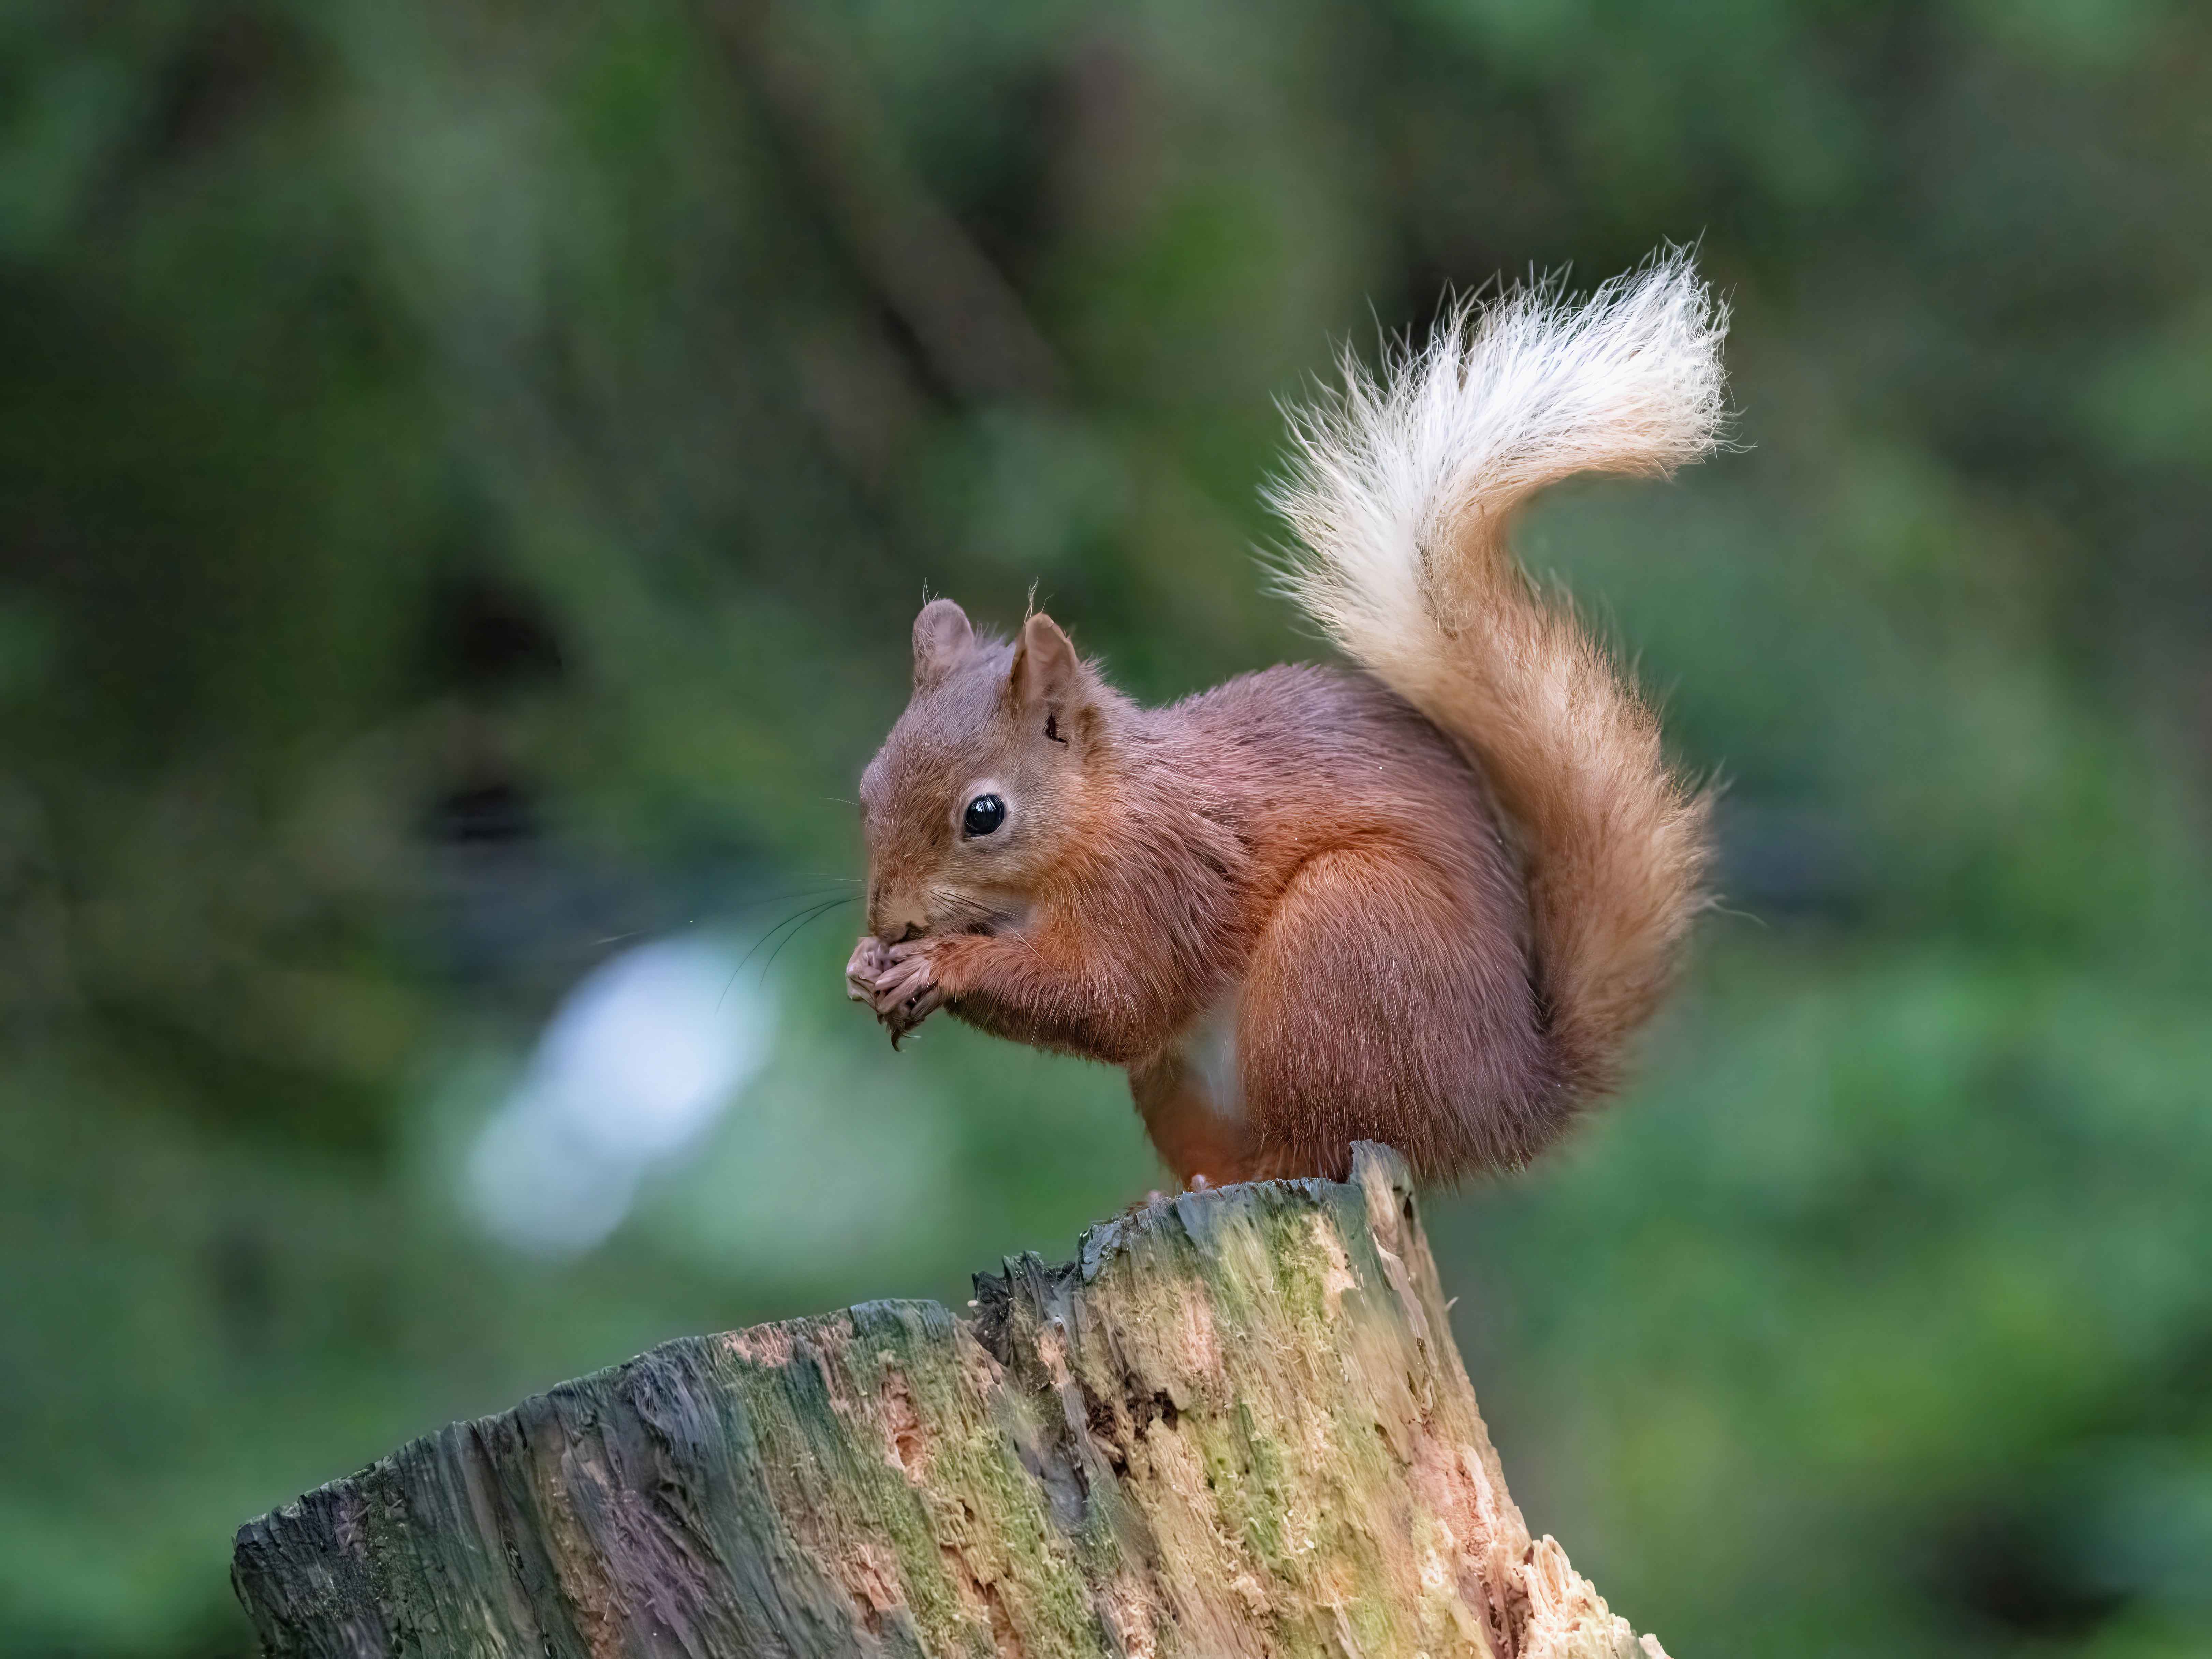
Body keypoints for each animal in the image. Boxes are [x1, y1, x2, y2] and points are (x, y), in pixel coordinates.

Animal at [845, 252, 1727, 1187]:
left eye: (984, 814)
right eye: (866, 787)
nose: (890, 920)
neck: (1098, 817)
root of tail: (1502, 1100)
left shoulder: (1163, 882)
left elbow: (1113, 998)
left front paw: (943, 962)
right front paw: (869, 967)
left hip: (1345, 941)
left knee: (1321, 1137)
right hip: (1183, 1080)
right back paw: (1183, 1187)